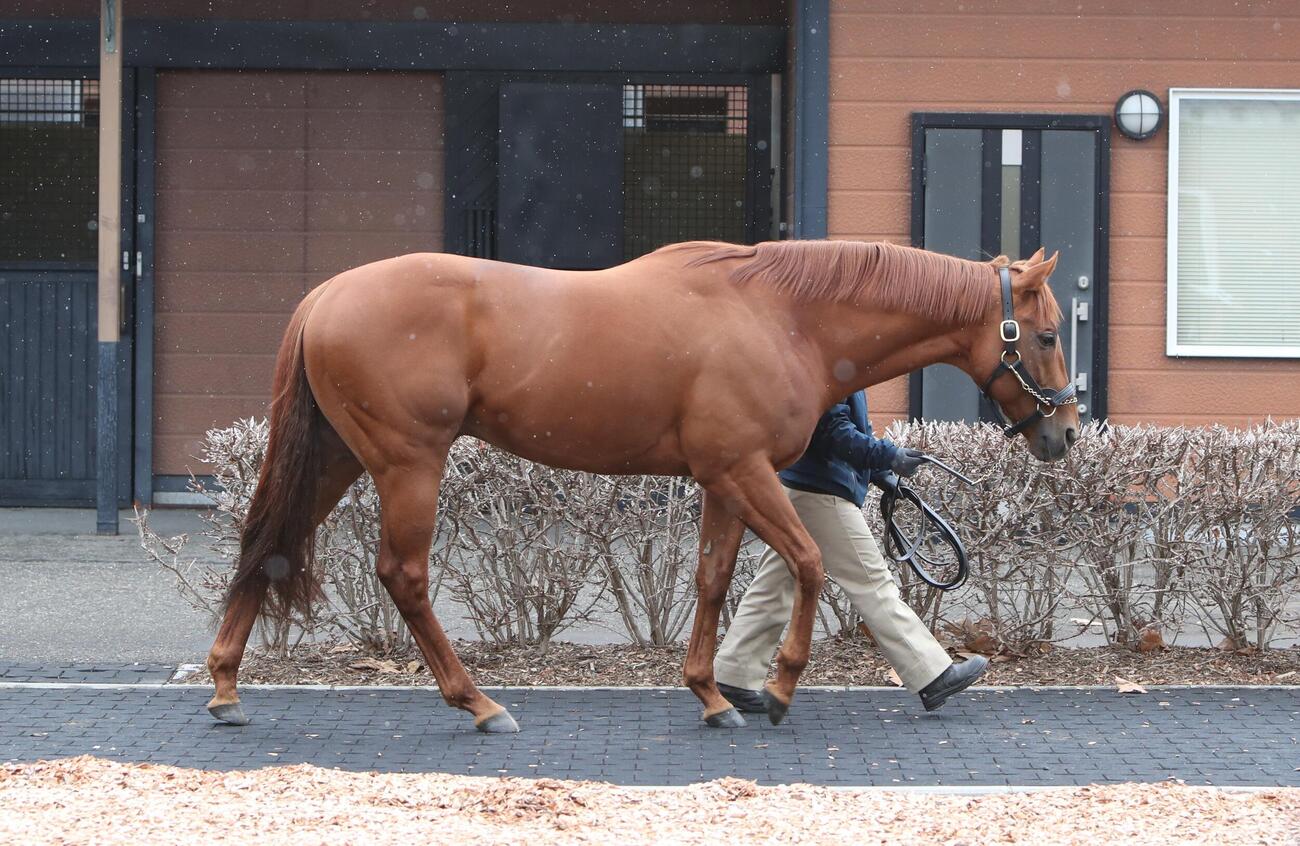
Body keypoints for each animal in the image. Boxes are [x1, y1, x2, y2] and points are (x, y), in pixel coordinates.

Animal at [205, 239, 1080, 733]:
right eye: (1043, 335)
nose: (1066, 433)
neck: (782, 314)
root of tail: (328, 293)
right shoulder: (743, 468)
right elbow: (808, 564)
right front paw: (780, 686)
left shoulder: (724, 478)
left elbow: (714, 579)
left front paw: (715, 695)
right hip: (407, 461)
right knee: (404, 576)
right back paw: (479, 704)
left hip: (339, 458)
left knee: (270, 547)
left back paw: (224, 687)